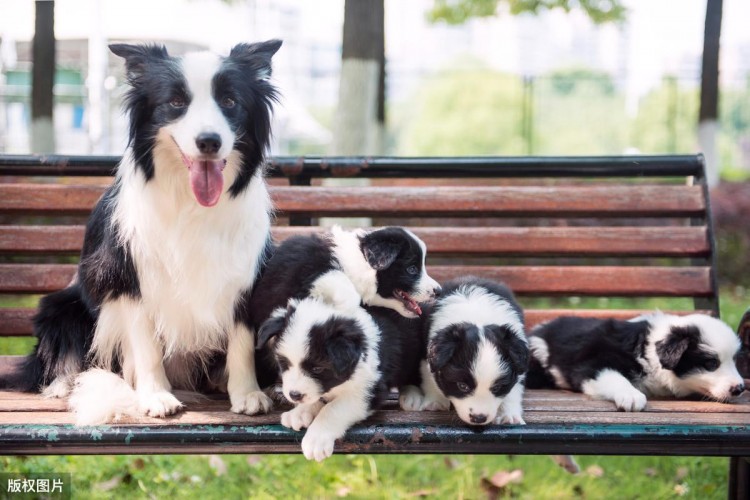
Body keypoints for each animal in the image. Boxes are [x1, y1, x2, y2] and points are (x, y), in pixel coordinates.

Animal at [2, 40, 284, 426]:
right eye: (176, 102)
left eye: (229, 101)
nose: (209, 141)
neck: (190, 203)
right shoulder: (128, 278)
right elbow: (146, 344)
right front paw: (155, 395)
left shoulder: (244, 275)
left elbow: (241, 341)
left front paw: (247, 393)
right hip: (61, 308)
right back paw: (66, 385)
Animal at [258, 298, 424, 462]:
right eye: (284, 363)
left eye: (317, 368)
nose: (294, 395)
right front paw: (299, 412)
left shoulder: (370, 390)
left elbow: (333, 409)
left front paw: (316, 439)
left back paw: (413, 396)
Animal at [402, 278, 532, 426]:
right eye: (462, 386)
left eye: (497, 387)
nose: (479, 418)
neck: (477, 316)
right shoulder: (427, 355)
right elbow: (430, 377)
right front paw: (435, 402)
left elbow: (513, 390)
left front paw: (508, 416)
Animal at [524, 312, 748, 410]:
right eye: (711, 364)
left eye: (734, 360)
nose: (739, 388)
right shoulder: (592, 363)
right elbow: (614, 377)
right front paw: (631, 396)